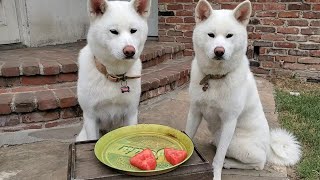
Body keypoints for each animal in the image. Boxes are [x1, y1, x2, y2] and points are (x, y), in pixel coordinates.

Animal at [75, 0, 151, 141]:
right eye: (113, 31)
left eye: (133, 30)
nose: (129, 51)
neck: (114, 74)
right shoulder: (90, 117)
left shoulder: (131, 113)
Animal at [186, 0, 302, 179]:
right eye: (211, 35)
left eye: (229, 36)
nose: (219, 51)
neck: (215, 77)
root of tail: (269, 146)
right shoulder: (194, 112)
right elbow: (188, 136)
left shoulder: (229, 122)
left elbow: (218, 158)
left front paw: (216, 173)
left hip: (232, 141)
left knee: (258, 164)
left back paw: (229, 163)